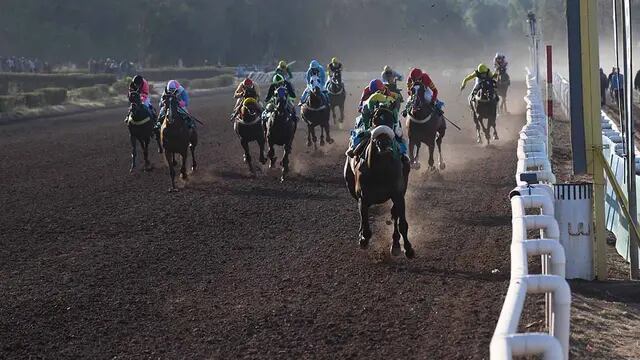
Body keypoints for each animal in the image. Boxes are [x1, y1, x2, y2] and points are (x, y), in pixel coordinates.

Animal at [344, 105, 416, 258]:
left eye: (391, 120)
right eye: (375, 120)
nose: (383, 144)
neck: (381, 170)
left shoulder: (398, 195)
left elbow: (402, 223)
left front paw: (408, 248)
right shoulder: (363, 197)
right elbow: (365, 226)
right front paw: (363, 239)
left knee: (394, 215)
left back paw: (396, 244)